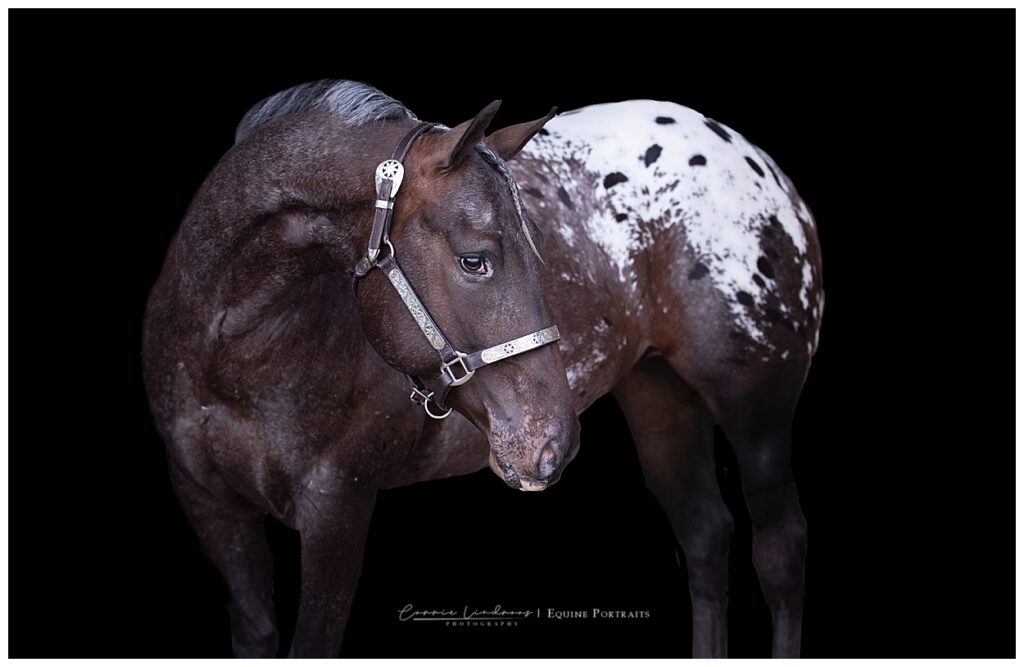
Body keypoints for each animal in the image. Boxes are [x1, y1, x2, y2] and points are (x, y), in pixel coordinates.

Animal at [143, 80, 823, 658]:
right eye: (475, 260)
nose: (553, 446)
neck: (239, 359)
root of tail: (759, 166)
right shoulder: (211, 508)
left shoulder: (337, 508)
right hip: (658, 398)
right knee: (706, 538)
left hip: (757, 406)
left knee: (781, 552)